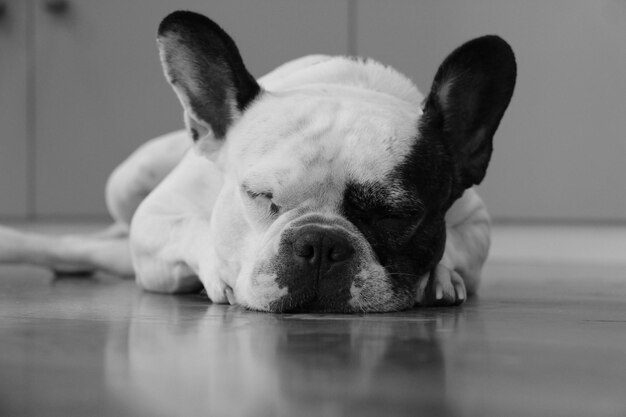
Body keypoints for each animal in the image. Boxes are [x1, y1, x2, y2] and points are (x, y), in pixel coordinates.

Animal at [0, 11, 516, 312]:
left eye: (395, 215)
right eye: (259, 196)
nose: (320, 243)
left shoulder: (475, 223)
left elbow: (458, 247)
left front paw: (440, 275)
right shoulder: (156, 217)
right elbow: (193, 228)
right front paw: (221, 270)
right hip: (127, 181)